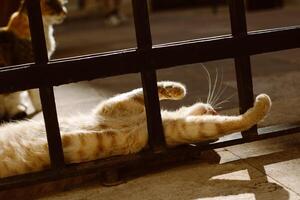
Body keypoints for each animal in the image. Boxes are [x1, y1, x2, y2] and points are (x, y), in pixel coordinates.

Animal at [0, 81, 272, 178]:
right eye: (211, 110)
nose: (214, 109)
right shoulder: (116, 107)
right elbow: (143, 91)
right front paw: (175, 89)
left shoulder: (113, 110)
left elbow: (232, 123)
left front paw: (261, 104)